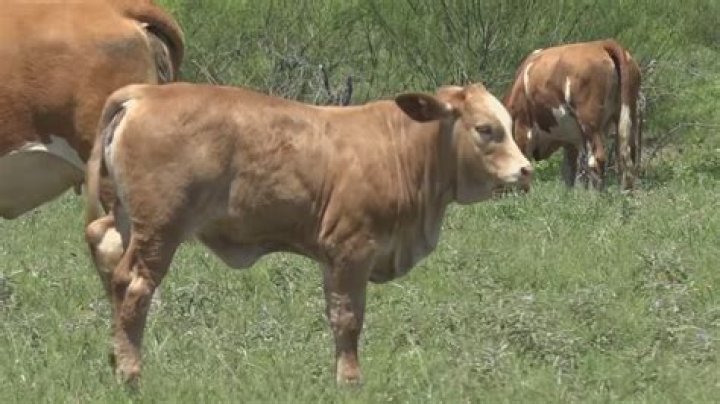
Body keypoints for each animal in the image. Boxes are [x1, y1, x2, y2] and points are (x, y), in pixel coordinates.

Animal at [84, 82, 533, 385]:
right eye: (486, 129)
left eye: (509, 125)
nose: (526, 170)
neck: (403, 150)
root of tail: (146, 93)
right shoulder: (352, 250)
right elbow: (348, 319)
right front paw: (350, 379)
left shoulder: (332, 258)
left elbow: (336, 315)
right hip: (160, 230)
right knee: (136, 286)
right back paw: (131, 371)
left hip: (127, 220)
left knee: (105, 251)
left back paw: (115, 355)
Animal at [503, 39, 641, 190]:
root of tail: (602, 43)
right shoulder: (570, 141)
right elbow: (568, 171)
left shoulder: (522, 126)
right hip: (627, 114)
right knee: (628, 156)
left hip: (589, 121)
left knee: (597, 159)